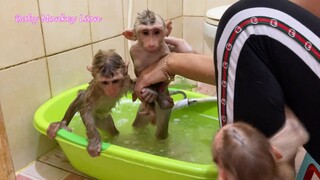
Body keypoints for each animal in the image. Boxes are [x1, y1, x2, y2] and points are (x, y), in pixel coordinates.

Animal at [122, 9, 174, 139]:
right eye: (145, 33)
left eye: (156, 32)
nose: (151, 43)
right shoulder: (134, 51)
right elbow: (138, 73)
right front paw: (147, 90)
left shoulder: (165, 50)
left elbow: (164, 77)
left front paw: (152, 91)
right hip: (142, 110)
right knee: (139, 123)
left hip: (163, 112)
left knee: (161, 131)